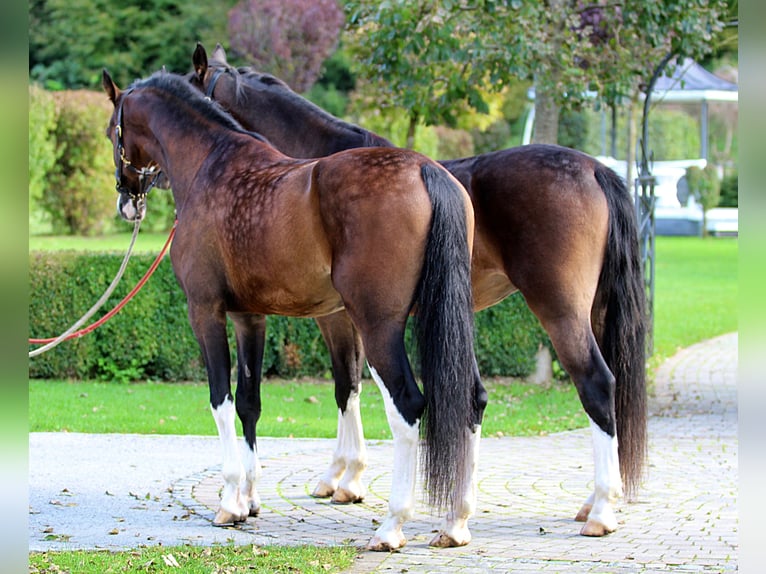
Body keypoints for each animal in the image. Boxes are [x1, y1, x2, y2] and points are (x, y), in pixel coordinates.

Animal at [101, 69, 483, 551]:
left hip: (379, 326)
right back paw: (455, 522)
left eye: (111, 130)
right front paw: (249, 501)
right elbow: (249, 402)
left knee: (408, 406)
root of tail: (424, 168)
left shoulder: (205, 311)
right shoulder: (249, 317)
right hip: (448, 322)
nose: (126, 201)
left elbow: (221, 399)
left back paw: (392, 526)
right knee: (469, 399)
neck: (211, 165)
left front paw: (229, 501)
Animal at [190, 43, 649, 539]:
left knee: (596, 384)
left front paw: (342, 478)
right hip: (594, 311)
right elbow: (355, 387)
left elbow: (345, 387)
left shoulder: (339, 317)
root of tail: (596, 169)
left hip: (560, 310)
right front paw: (346, 477)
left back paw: (600, 510)